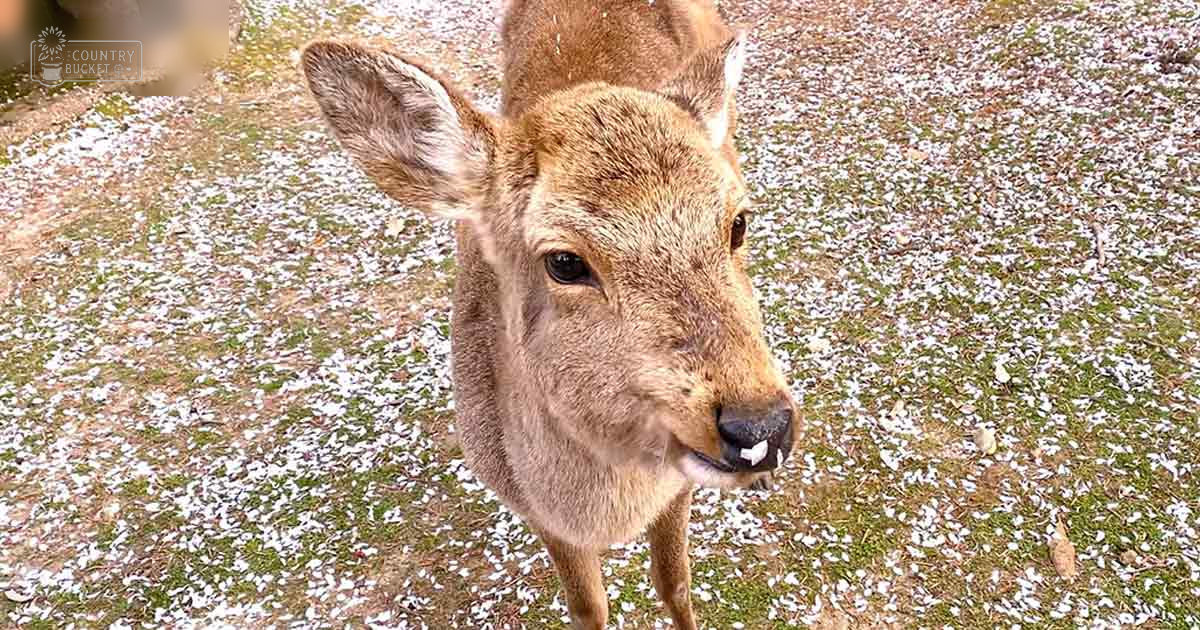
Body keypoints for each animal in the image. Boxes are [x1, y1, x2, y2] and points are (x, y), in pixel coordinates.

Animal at [301, 1, 796, 627]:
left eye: (738, 223)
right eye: (564, 261)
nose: (761, 428)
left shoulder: (678, 485)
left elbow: (675, 583)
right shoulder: (534, 509)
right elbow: (588, 608)